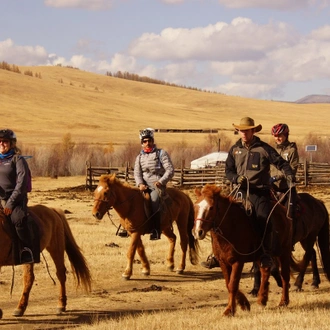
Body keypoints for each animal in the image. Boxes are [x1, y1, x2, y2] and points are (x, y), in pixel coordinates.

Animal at [192, 184, 296, 316]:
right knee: (265, 271)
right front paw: (244, 304)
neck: (231, 227)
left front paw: (229, 310)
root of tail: (283, 210)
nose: (198, 232)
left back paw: (283, 302)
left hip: (284, 252)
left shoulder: (238, 262)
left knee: (285, 275)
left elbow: (233, 284)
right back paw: (262, 299)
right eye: (195, 206)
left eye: (211, 208)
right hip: (260, 256)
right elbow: (228, 283)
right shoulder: (223, 262)